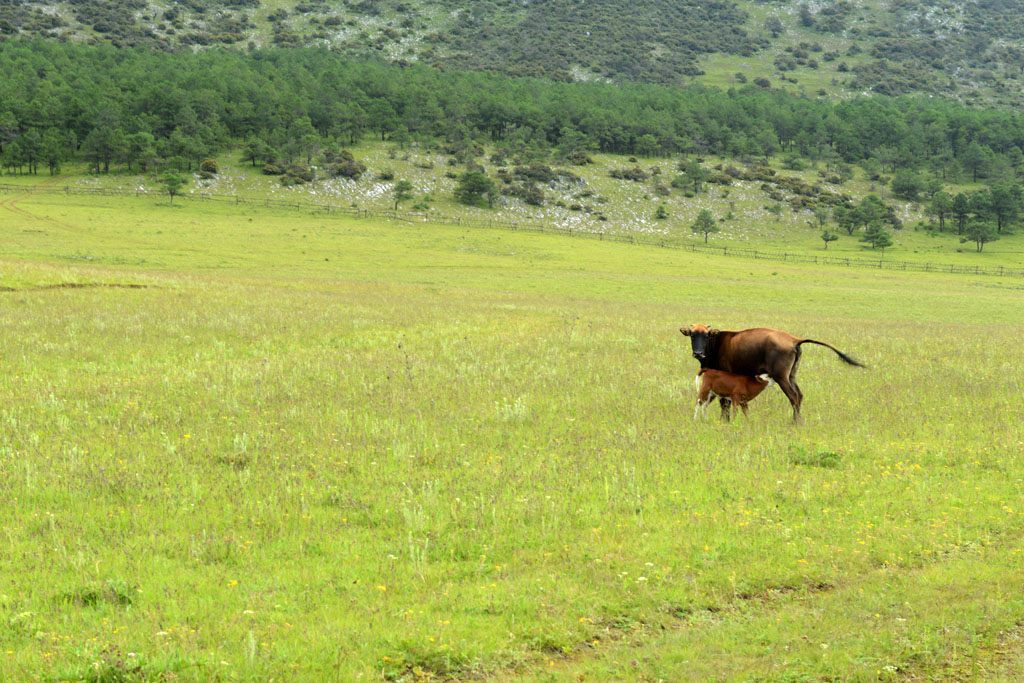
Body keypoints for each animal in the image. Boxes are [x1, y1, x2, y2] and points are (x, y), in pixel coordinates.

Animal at [679, 325, 864, 421]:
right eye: (692, 335)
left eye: (706, 336)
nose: (698, 353)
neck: (717, 342)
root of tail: (794, 340)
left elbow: (724, 403)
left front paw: (725, 421)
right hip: (791, 375)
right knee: (800, 395)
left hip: (782, 377)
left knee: (793, 397)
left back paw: (795, 423)